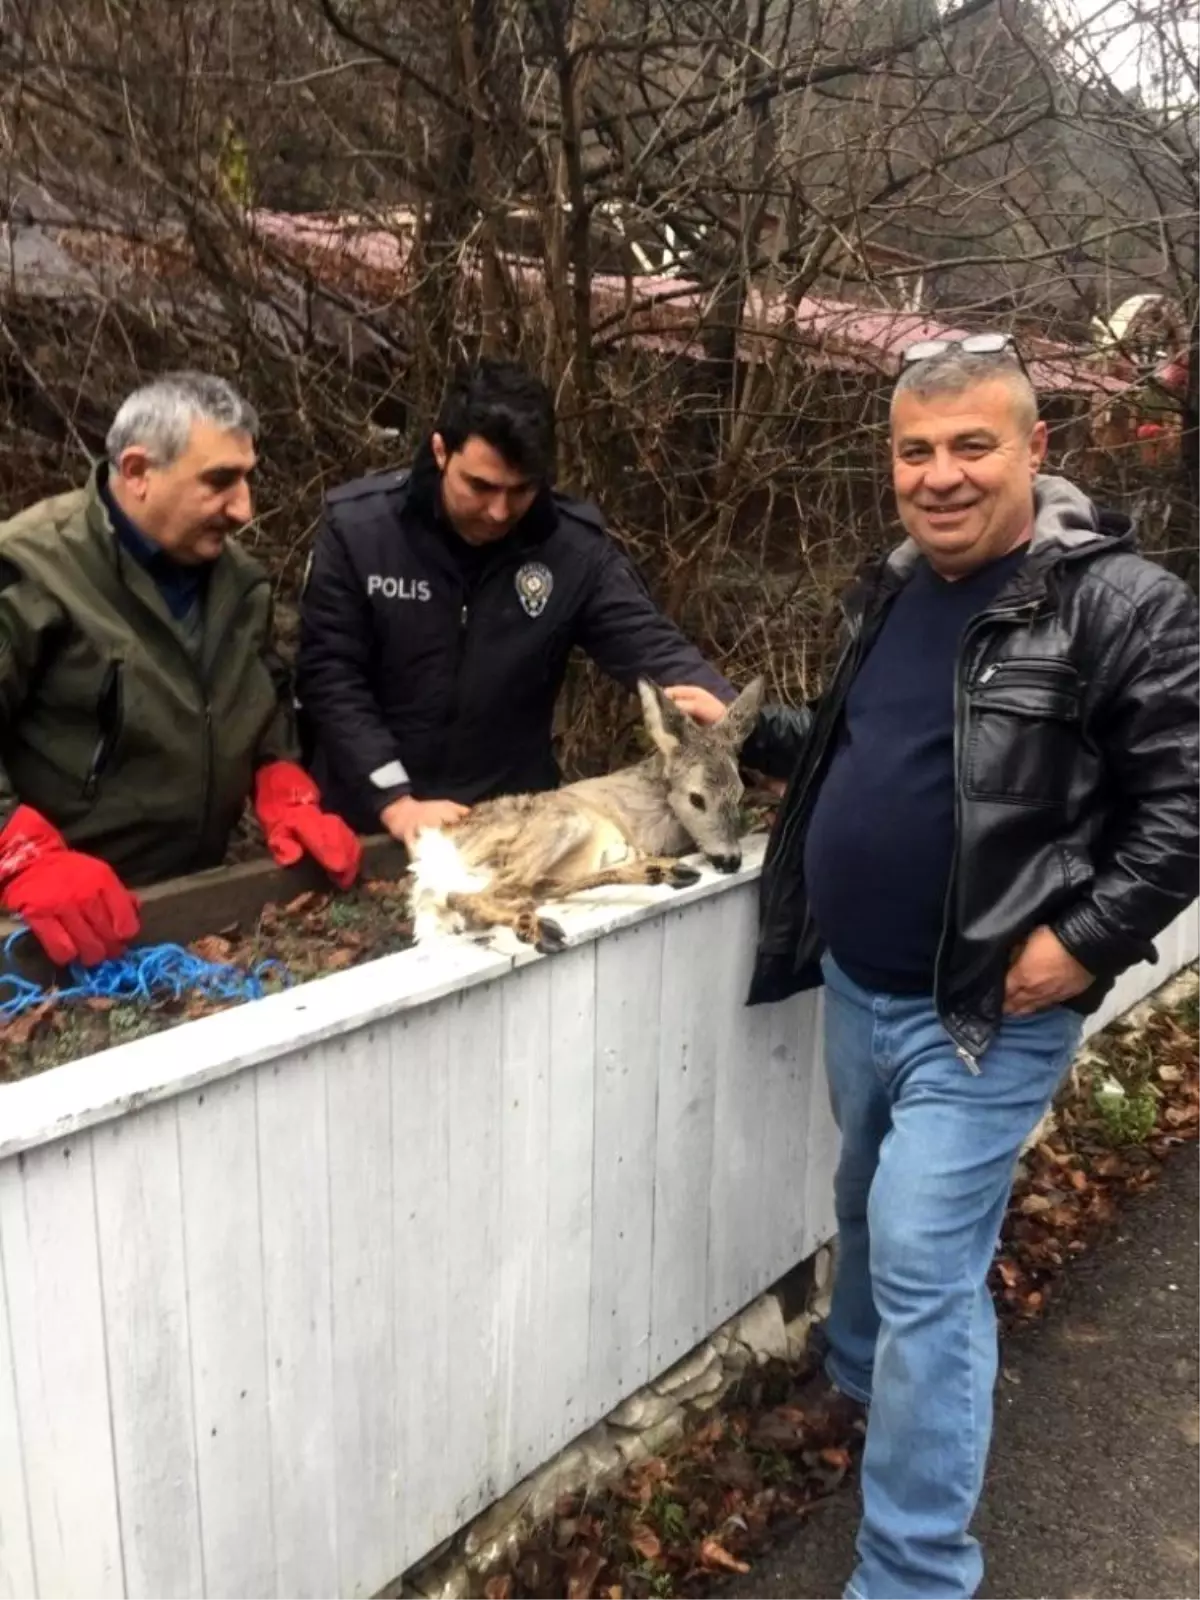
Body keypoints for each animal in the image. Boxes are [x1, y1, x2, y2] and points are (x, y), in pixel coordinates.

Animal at [409, 675, 764, 947]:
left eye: (740, 794)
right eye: (696, 798)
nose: (731, 860)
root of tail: (430, 860)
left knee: (530, 888)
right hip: (560, 823)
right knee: (469, 895)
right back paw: (539, 927)